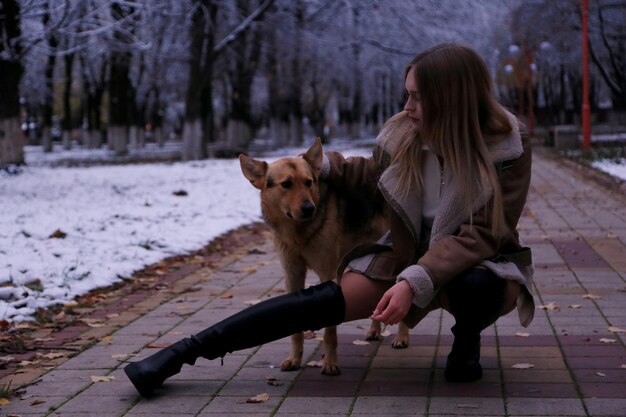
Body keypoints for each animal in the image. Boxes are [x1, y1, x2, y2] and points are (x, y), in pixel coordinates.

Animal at [239, 139, 394, 374]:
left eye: (309, 182)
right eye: (286, 184)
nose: (308, 208)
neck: (297, 232)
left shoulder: (327, 273)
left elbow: (330, 330)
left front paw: (330, 362)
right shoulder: (292, 273)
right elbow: (295, 330)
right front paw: (295, 359)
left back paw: (401, 337)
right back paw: (375, 330)